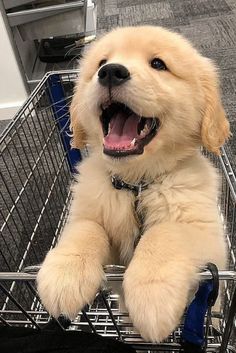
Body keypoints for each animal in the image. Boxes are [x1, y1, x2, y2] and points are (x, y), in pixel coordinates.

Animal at [37, 26, 229, 340]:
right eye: (101, 62)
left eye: (159, 64)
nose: (110, 72)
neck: (136, 184)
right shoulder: (90, 214)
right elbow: (86, 229)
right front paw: (65, 273)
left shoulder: (207, 235)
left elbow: (165, 234)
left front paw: (152, 293)